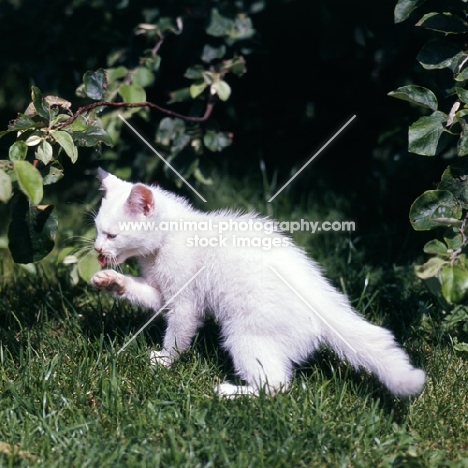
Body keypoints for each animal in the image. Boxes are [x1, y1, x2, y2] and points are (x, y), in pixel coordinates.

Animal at [89, 168, 426, 394]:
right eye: (97, 230)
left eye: (112, 235)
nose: (96, 249)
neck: (167, 239)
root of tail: (322, 303)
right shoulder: (164, 292)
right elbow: (146, 295)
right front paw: (110, 281)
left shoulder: (186, 300)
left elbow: (179, 333)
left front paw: (164, 361)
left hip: (244, 332)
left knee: (275, 386)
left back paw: (230, 393)